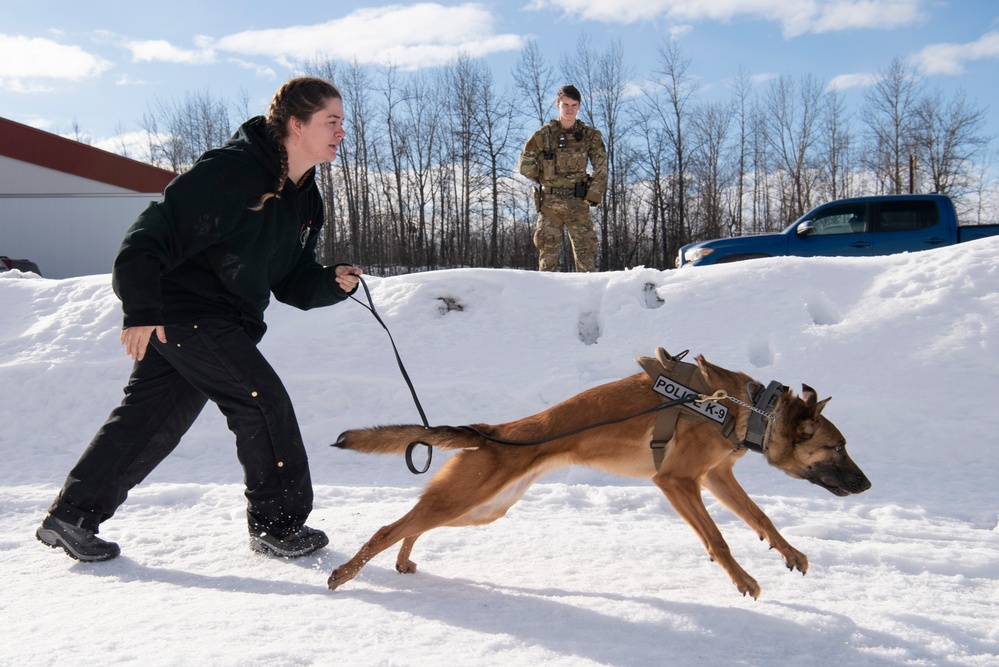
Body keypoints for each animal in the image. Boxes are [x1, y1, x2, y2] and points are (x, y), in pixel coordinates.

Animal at [326, 348, 868, 596]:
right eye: (837, 447)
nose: (866, 484)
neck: (745, 408)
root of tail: (494, 431)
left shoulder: (716, 479)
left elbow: (761, 518)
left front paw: (788, 551)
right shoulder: (677, 483)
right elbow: (719, 539)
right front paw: (741, 579)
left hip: (481, 509)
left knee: (412, 525)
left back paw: (401, 561)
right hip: (467, 499)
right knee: (388, 527)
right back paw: (344, 573)